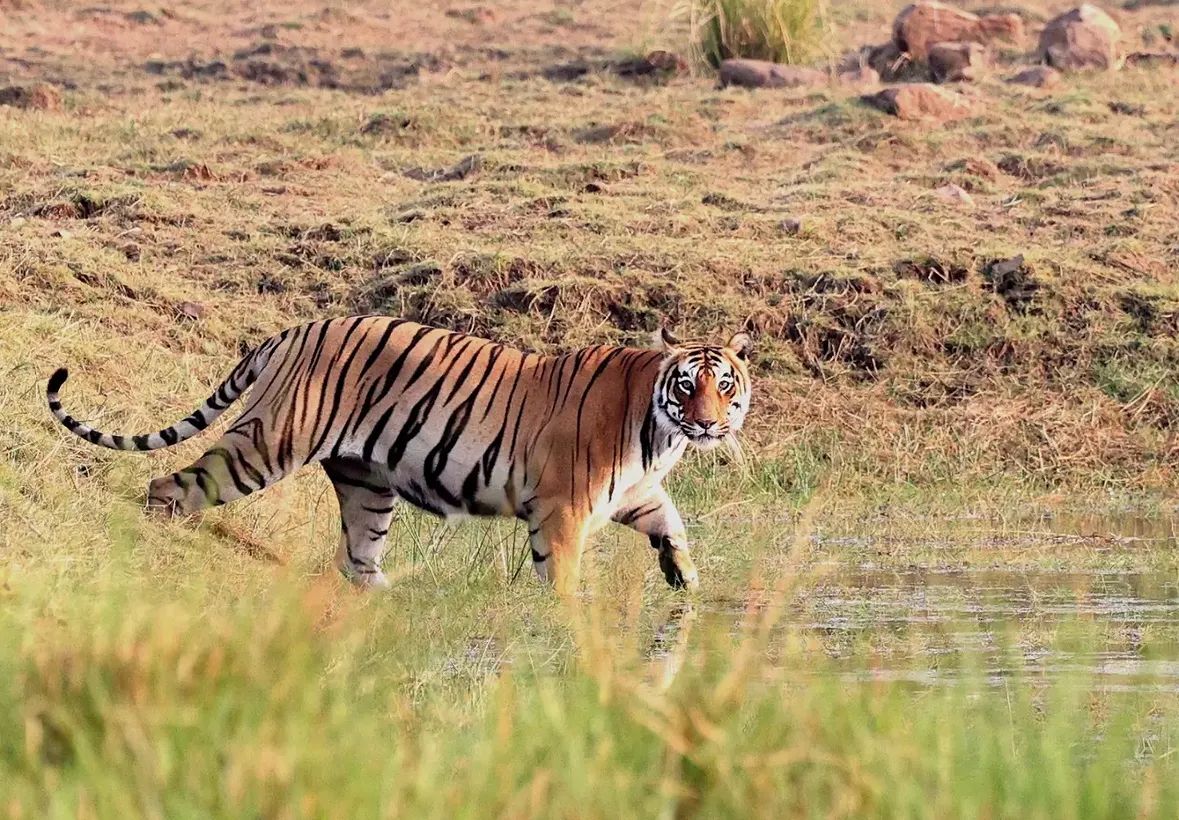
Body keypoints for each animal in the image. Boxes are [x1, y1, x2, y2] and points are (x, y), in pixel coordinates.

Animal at [46, 318, 753, 594]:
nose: (708, 424)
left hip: (368, 484)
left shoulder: (633, 491)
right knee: (169, 487)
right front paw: (571, 621)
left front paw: (685, 578)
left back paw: (389, 597)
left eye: (724, 386)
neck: (658, 435)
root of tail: (291, 331)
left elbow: (672, 522)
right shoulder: (563, 509)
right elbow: (563, 575)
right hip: (266, 444)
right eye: (687, 386)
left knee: (356, 558)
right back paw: (154, 546)